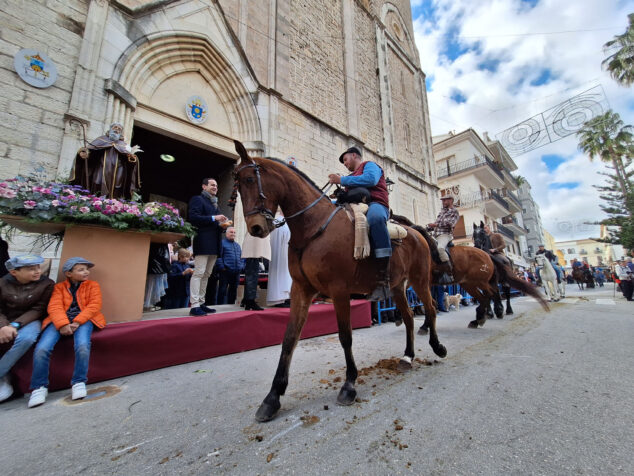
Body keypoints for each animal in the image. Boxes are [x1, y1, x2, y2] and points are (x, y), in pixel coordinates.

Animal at [231, 140, 444, 420]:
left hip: (420, 281)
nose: (256, 228)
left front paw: (349, 385)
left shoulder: (339, 291)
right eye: (236, 184)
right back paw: (407, 357)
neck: (313, 227)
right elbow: (289, 339)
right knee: (409, 317)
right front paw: (272, 397)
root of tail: (415, 231)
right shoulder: (301, 290)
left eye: (248, 179)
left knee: (430, 309)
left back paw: (437, 346)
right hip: (399, 287)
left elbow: (345, 336)